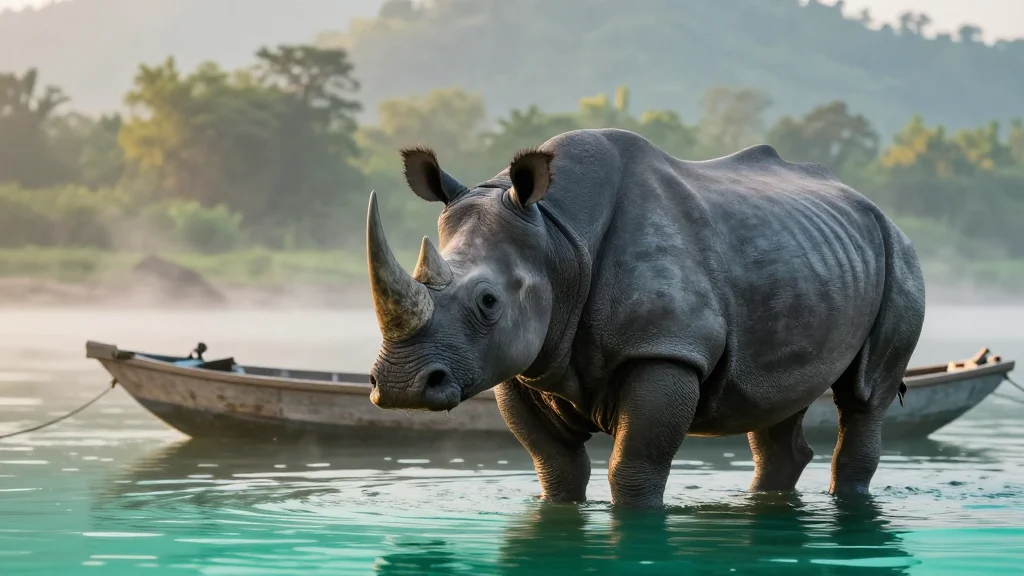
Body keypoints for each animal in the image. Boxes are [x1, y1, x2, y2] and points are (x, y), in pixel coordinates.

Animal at [365, 128, 926, 508]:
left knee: (864, 395)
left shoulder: (666, 347)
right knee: (776, 401)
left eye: (488, 301)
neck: (557, 235)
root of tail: (873, 206)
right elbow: (556, 468)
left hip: (899, 254)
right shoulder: (519, 364)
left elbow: (633, 468)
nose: (399, 386)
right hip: (808, 256)